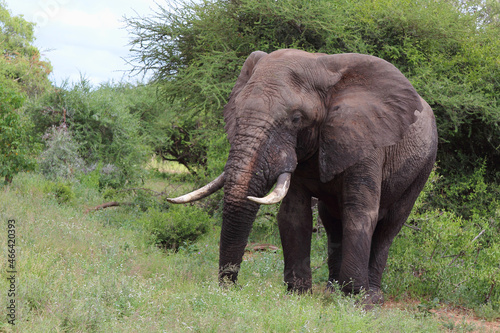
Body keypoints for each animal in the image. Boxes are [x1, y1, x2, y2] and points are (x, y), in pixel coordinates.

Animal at [168, 48, 438, 304]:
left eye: (296, 118)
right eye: (236, 112)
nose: (233, 287)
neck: (322, 67)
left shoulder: (366, 140)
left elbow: (360, 214)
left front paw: (357, 302)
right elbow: (294, 214)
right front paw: (298, 295)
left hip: (424, 164)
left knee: (389, 226)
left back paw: (372, 296)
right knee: (332, 221)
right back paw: (332, 291)